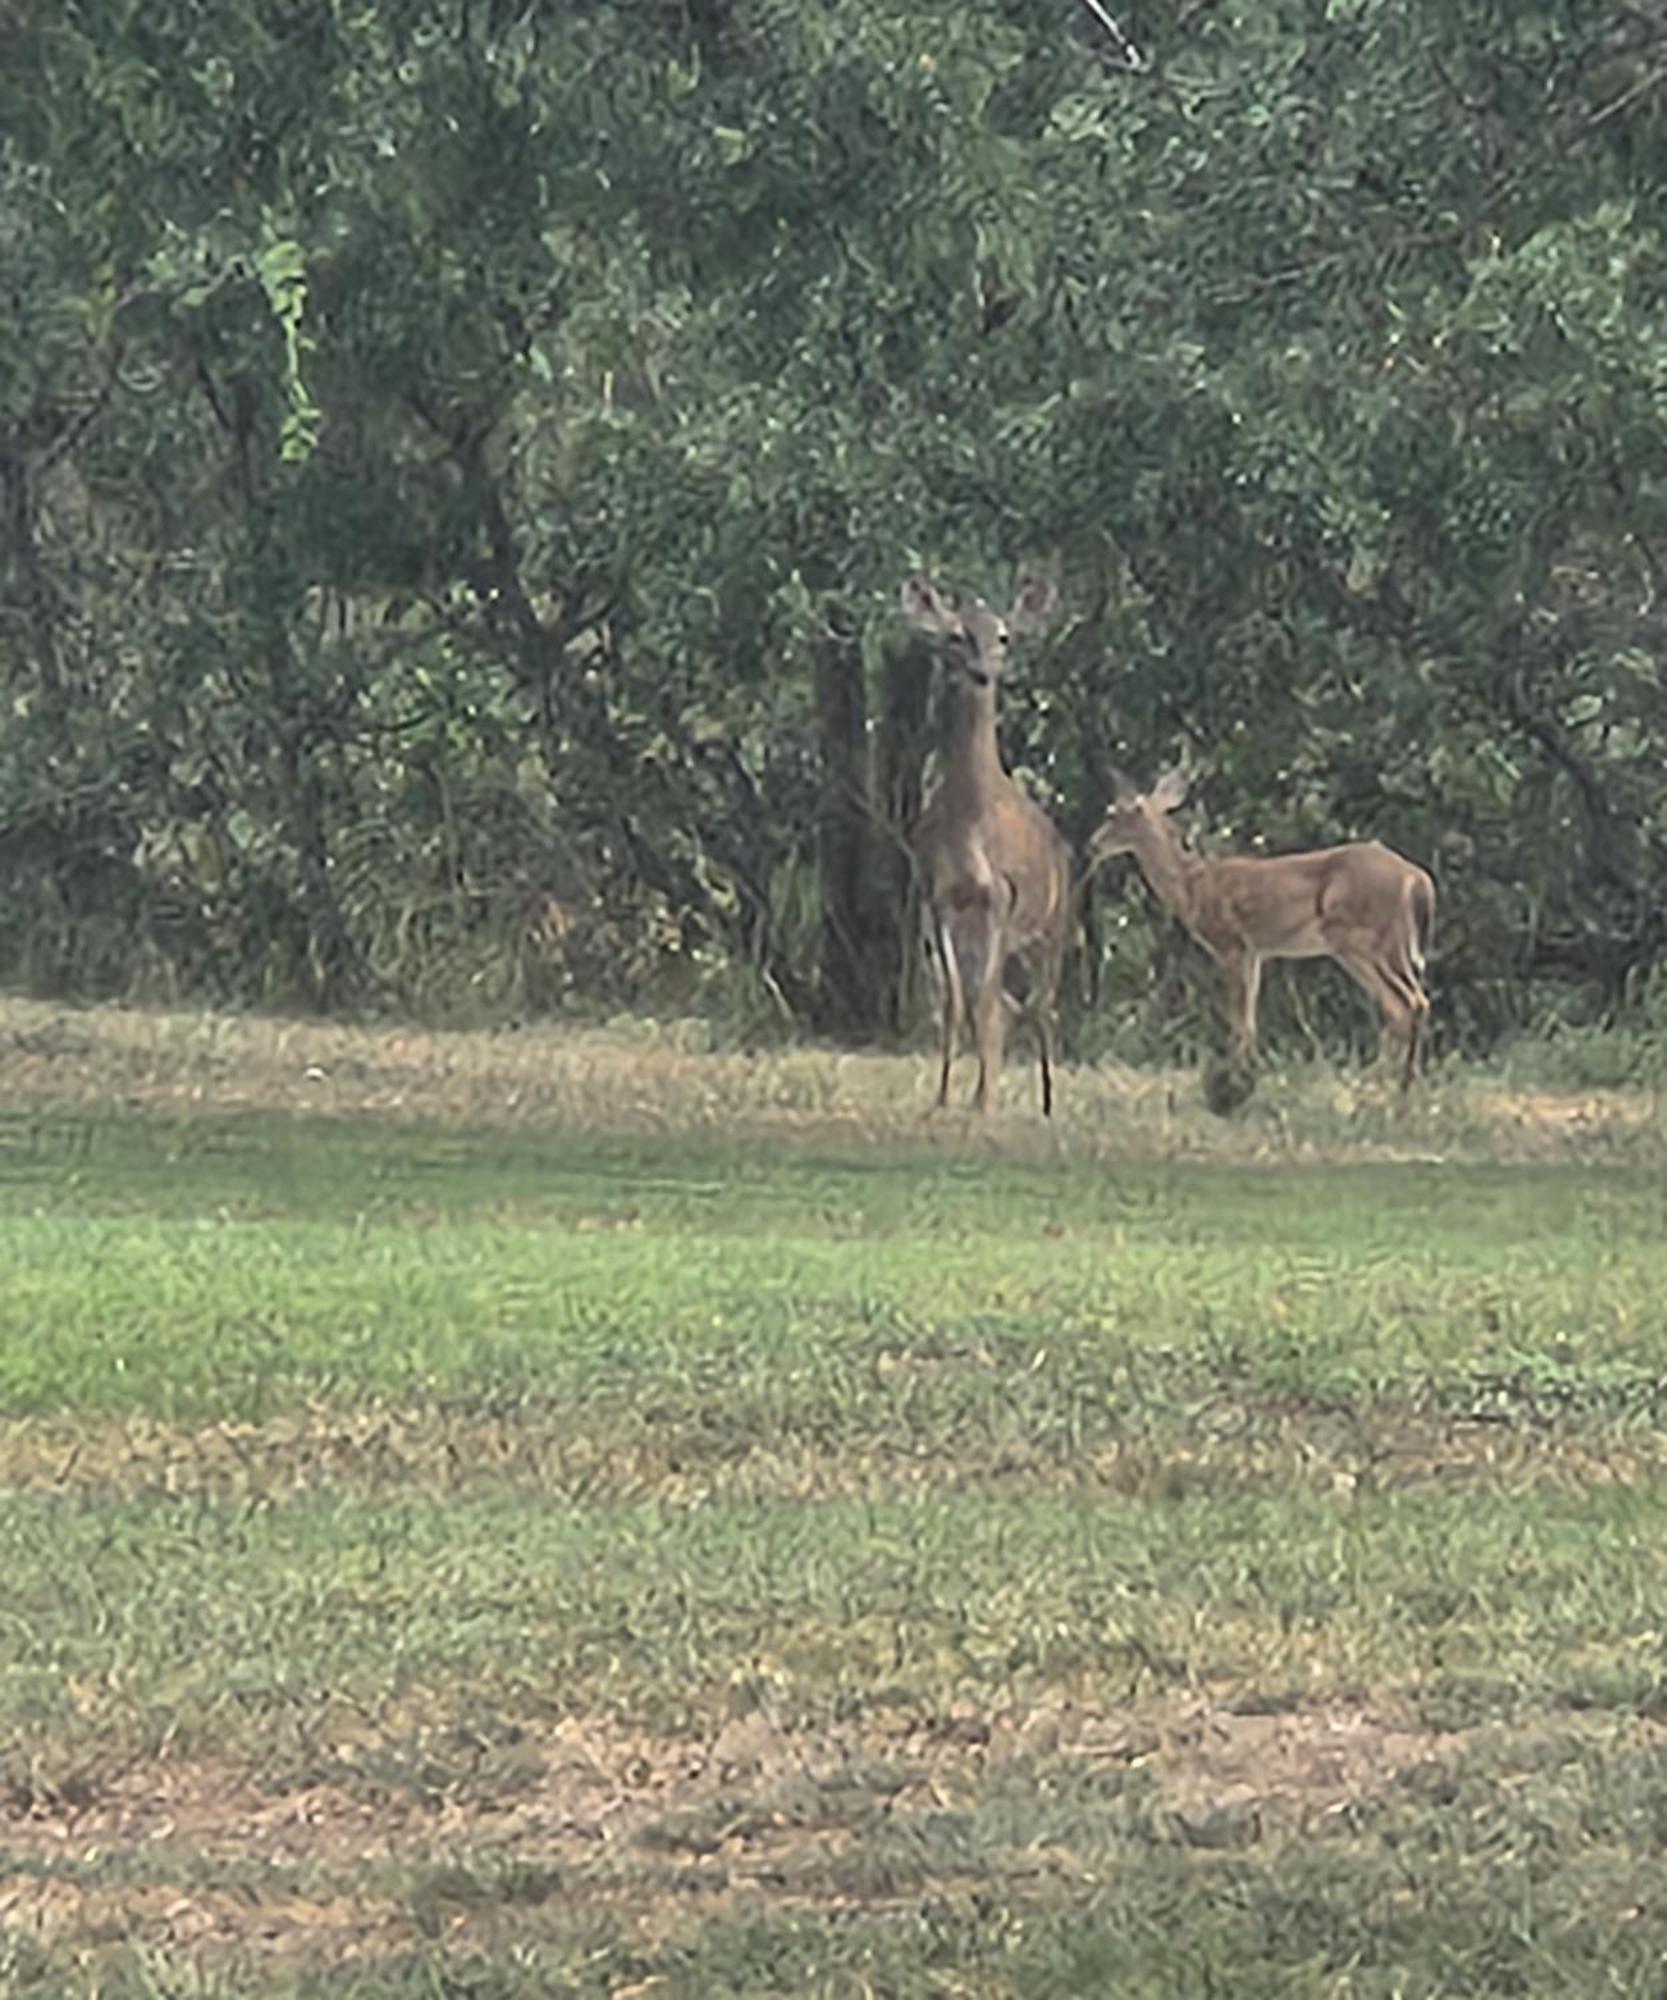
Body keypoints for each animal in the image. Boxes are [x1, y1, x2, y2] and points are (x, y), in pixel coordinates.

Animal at [903, 572, 1071, 1120]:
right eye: (956, 635)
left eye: (1003, 636)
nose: (981, 673)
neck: (969, 829)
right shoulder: (937, 897)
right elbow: (958, 1003)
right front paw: (943, 1097)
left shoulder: (1002, 894)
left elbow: (985, 1002)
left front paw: (982, 1099)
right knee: (1007, 1004)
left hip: (1054, 927)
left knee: (1041, 1005)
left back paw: (1047, 1103)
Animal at [1087, 772, 1431, 1104]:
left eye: (1121, 812)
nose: (1092, 845)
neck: (1193, 886)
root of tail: (1416, 877)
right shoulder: (1255, 953)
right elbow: (1250, 1020)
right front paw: (1248, 1077)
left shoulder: (1232, 944)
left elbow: (1237, 1019)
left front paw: (1234, 1084)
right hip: (1390, 945)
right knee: (1409, 1004)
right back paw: (1390, 1086)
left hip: (1357, 940)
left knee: (1407, 1002)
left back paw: (1390, 1088)